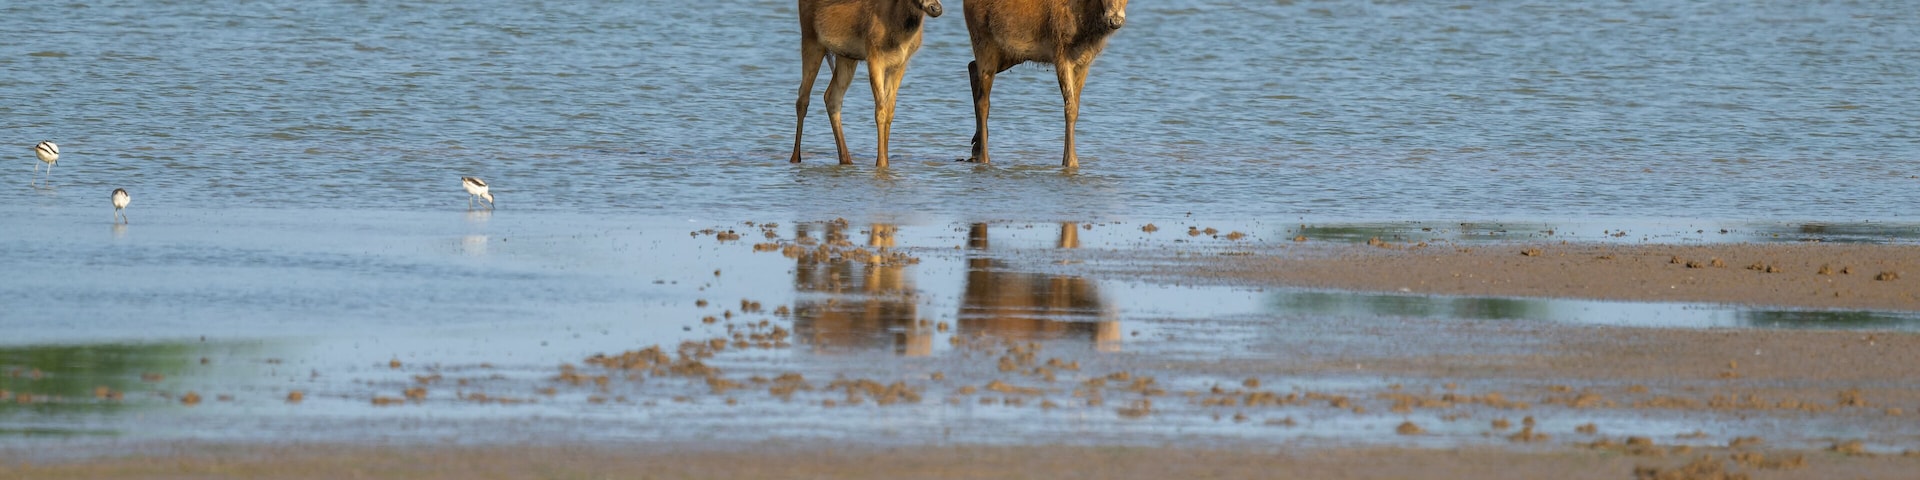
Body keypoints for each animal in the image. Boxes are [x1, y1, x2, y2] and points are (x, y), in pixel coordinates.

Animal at [790, 0, 945, 168]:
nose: (936, 8)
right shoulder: (874, 56)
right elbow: (880, 110)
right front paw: (881, 163)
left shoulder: (900, 64)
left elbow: (890, 110)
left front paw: (886, 161)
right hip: (811, 39)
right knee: (803, 98)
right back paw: (795, 157)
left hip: (846, 56)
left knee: (832, 96)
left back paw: (846, 159)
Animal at [962, 0, 1128, 168]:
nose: (1115, 21)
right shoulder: (1061, 54)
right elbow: (1070, 108)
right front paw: (1070, 161)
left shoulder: (1084, 62)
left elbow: (1076, 107)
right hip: (983, 42)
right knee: (984, 102)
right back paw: (984, 157)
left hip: (1012, 54)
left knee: (972, 67)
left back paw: (976, 148)